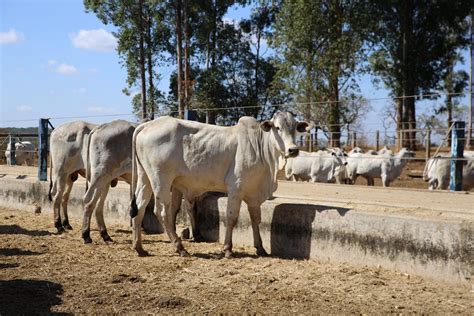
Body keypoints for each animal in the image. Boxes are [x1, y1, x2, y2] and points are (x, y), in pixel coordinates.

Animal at [130, 112, 310, 258]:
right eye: (277, 128)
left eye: (295, 128)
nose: (293, 150)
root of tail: (148, 125)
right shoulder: (236, 189)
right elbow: (231, 218)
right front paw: (228, 249)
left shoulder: (253, 193)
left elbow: (255, 219)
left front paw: (260, 248)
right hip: (161, 180)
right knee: (161, 212)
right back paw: (180, 247)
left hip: (145, 177)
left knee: (139, 207)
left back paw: (139, 247)